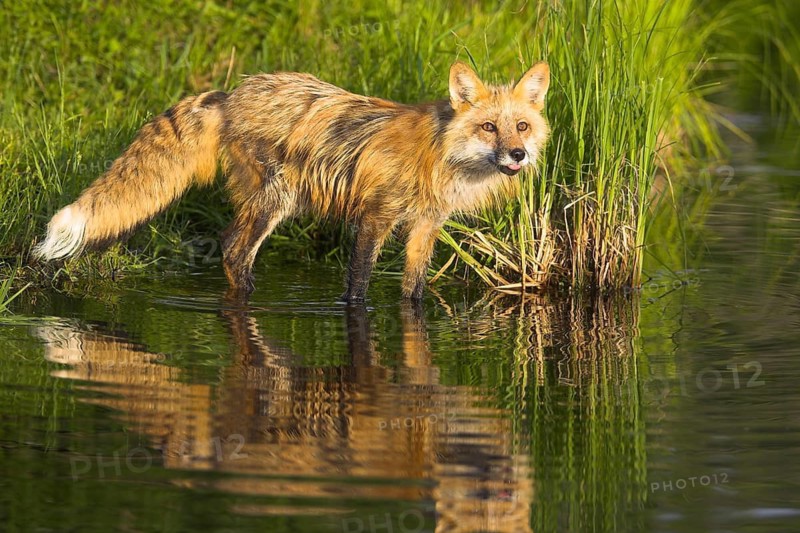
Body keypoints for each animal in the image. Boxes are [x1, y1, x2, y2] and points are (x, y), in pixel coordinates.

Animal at [33, 61, 550, 302]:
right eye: (489, 127)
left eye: (521, 126)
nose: (518, 155)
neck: (440, 160)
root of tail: (233, 93)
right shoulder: (374, 218)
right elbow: (357, 287)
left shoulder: (425, 226)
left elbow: (414, 291)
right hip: (277, 199)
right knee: (234, 249)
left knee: (229, 242)